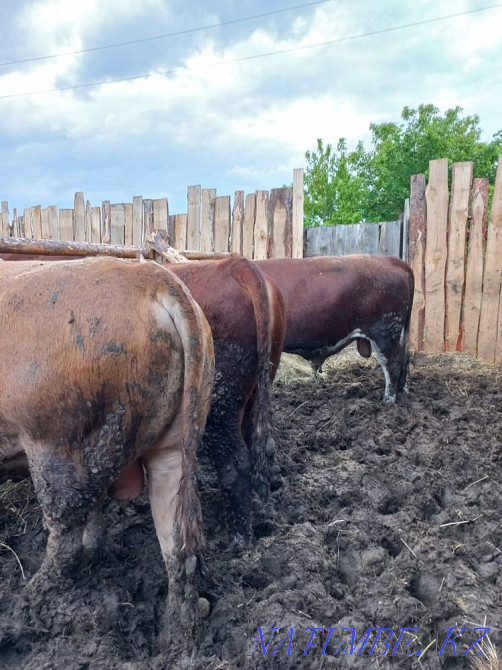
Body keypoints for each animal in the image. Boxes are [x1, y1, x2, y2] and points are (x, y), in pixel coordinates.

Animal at [0, 256, 214, 648]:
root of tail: (154, 278)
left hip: (53, 438)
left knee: (65, 526)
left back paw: (30, 601)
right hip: (173, 442)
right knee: (176, 537)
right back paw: (179, 632)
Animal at [255, 255, 414, 403]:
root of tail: (391, 260)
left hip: (384, 333)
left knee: (392, 364)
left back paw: (388, 401)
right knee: (404, 360)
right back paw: (403, 393)